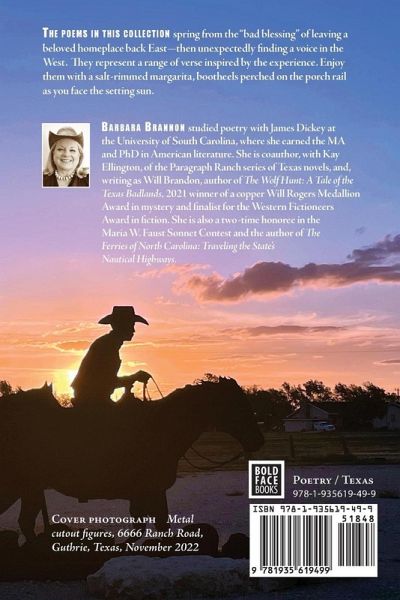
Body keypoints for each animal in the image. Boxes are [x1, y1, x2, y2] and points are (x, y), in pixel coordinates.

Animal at [0, 378, 264, 541]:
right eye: (237, 404)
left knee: (25, 522)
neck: (160, 427)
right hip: (18, 487)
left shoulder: (148, 493)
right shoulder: (151, 490)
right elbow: (155, 527)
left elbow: (147, 527)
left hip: (29, 488)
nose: (258, 440)